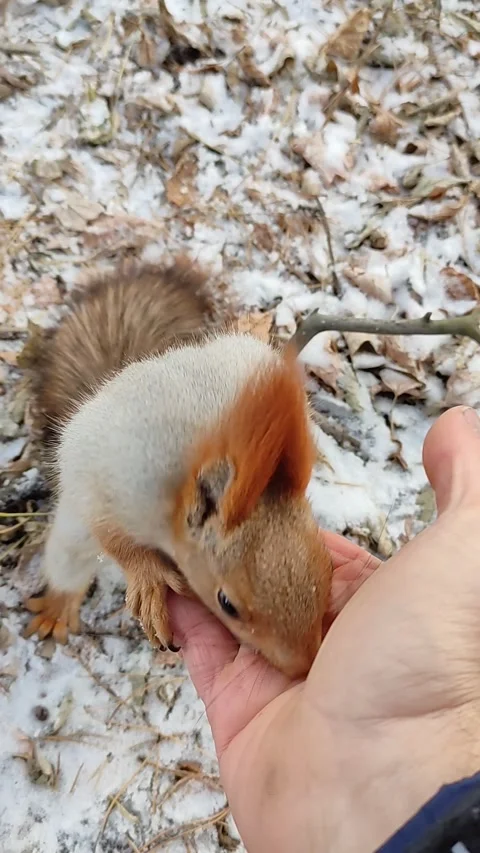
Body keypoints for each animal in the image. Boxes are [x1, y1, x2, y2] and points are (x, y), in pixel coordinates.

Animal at [23, 257, 333, 679]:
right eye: (227, 604)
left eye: (328, 567)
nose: (302, 668)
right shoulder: (118, 481)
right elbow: (114, 538)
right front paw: (148, 580)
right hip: (76, 522)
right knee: (70, 561)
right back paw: (58, 607)